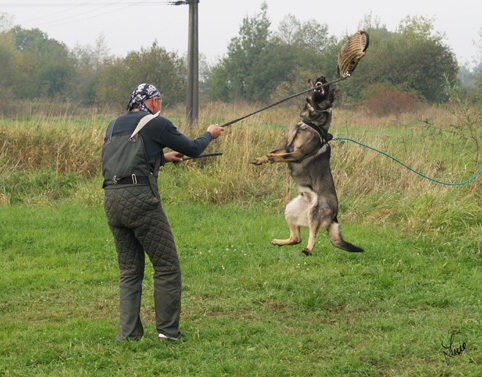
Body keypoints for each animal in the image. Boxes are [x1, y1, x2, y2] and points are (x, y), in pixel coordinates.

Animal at [252, 75, 362, 256]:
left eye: (328, 86)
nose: (322, 77)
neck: (310, 121)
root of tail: (334, 216)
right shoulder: (287, 145)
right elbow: (277, 151)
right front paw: (261, 159)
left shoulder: (297, 153)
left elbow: (282, 156)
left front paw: (272, 157)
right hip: (290, 210)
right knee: (296, 238)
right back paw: (280, 242)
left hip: (315, 214)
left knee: (311, 236)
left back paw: (308, 250)